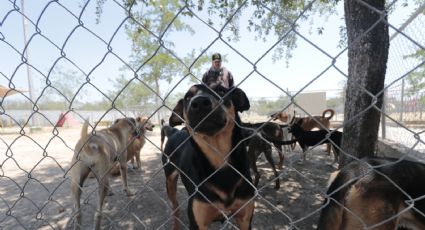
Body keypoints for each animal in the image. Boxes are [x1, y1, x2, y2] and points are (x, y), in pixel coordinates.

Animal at [161, 83, 255, 229]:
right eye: (188, 97)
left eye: (221, 90)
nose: (199, 102)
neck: (219, 161)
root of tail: (173, 132)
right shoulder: (197, 220)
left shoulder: (245, 218)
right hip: (169, 181)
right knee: (175, 208)